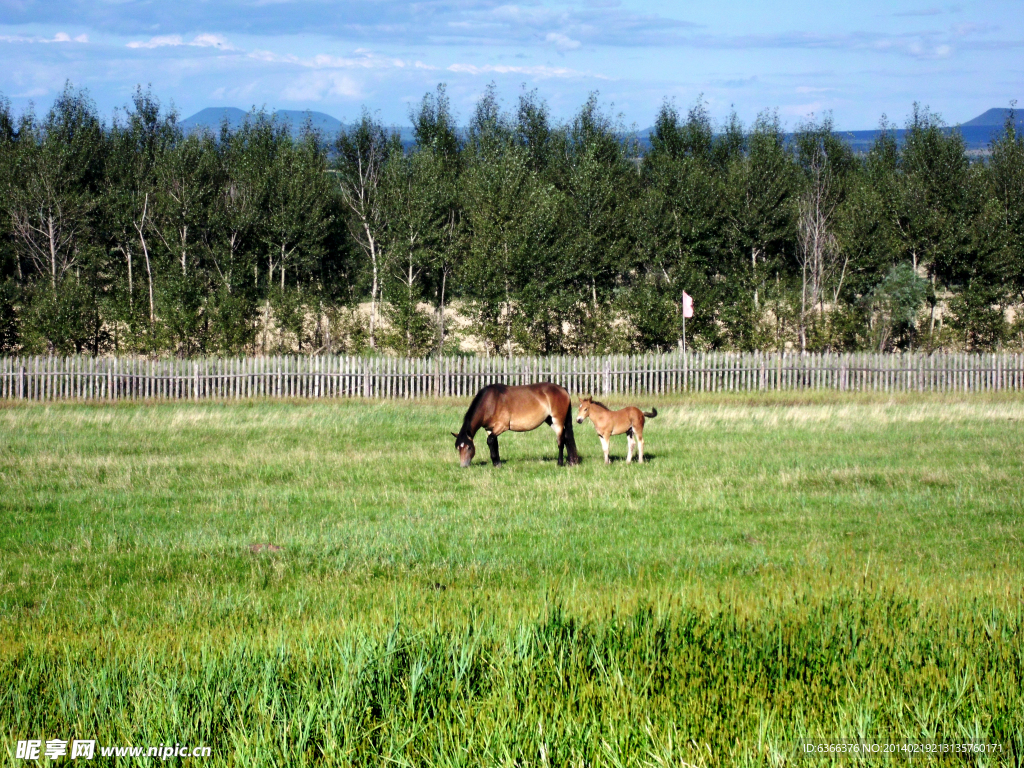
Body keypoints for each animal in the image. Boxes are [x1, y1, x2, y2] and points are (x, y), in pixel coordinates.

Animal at [452, 382, 581, 468]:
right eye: (458, 448)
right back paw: (571, 462)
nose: (463, 465)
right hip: (551, 421)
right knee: (566, 438)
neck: (490, 402)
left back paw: (560, 463)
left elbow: (490, 440)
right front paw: (497, 463)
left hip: (558, 421)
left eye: (469, 447)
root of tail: (563, 389)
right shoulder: (490, 429)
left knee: (560, 441)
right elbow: (493, 443)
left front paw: (496, 463)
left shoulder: (502, 426)